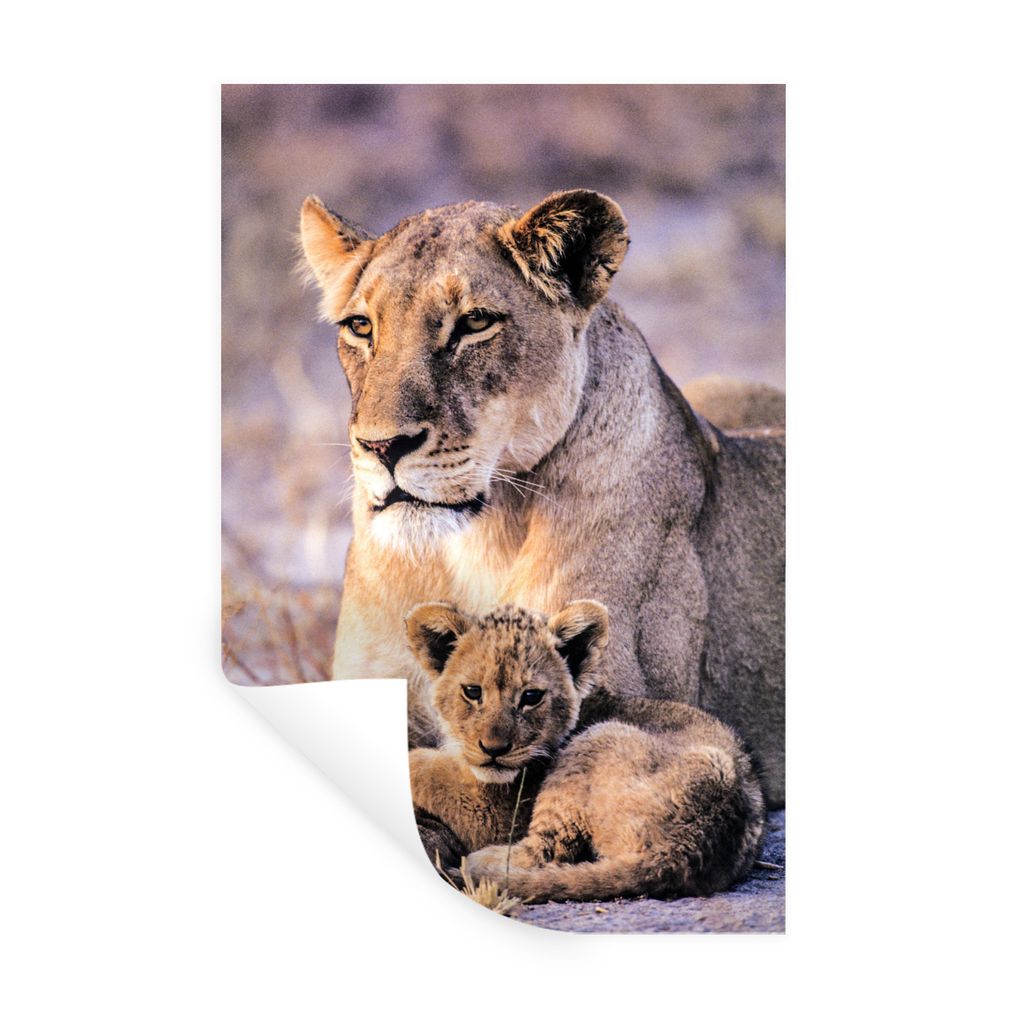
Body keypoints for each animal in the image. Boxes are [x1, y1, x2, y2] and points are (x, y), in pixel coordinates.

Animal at [406, 600, 765, 903]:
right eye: (472, 691)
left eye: (531, 696)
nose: (493, 749)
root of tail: (682, 851)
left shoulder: (498, 812)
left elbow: (426, 770)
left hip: (595, 741)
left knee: (546, 851)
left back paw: (481, 862)